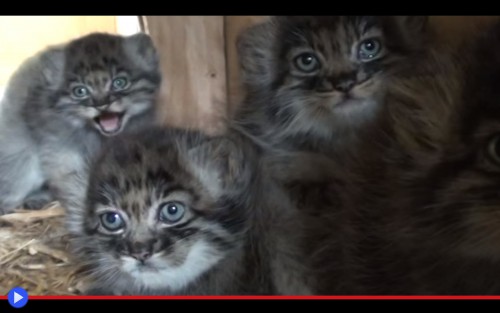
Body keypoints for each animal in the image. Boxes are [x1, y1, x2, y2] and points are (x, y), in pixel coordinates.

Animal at [0, 33, 161, 216]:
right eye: (80, 91)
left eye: (119, 82)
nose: (101, 104)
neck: (98, 136)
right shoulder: (61, 154)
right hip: (21, 157)